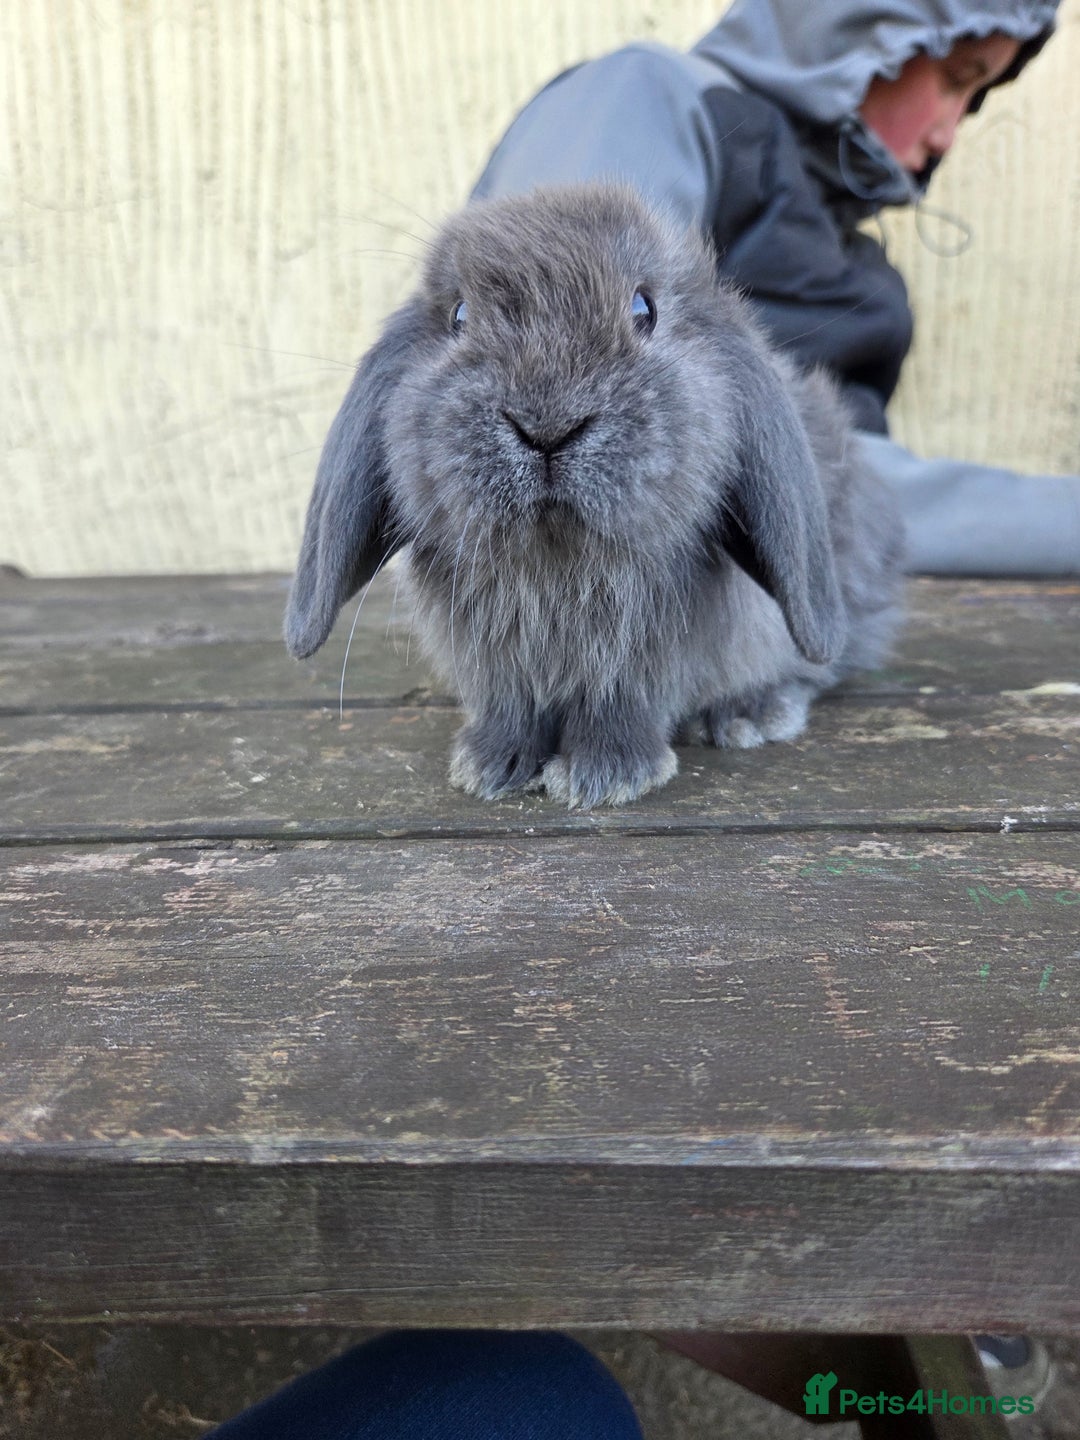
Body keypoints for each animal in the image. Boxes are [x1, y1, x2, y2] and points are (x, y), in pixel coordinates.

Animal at [285, 181, 904, 808]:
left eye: (644, 310)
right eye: (459, 316)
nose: (547, 427)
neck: (557, 561)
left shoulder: (643, 661)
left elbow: (621, 707)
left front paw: (606, 776)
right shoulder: (499, 666)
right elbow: (512, 709)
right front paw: (492, 765)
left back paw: (747, 715)